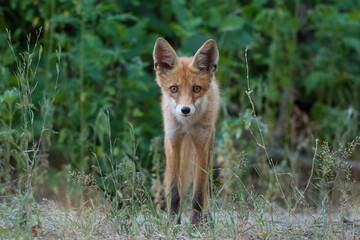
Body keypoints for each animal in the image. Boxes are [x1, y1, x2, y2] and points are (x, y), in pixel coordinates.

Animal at [152, 38, 219, 225]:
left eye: (196, 88)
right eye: (174, 89)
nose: (185, 110)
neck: (187, 125)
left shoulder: (202, 146)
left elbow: (198, 195)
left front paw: (196, 224)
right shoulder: (172, 142)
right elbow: (174, 191)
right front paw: (172, 222)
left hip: (208, 145)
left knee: (206, 189)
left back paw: (208, 219)